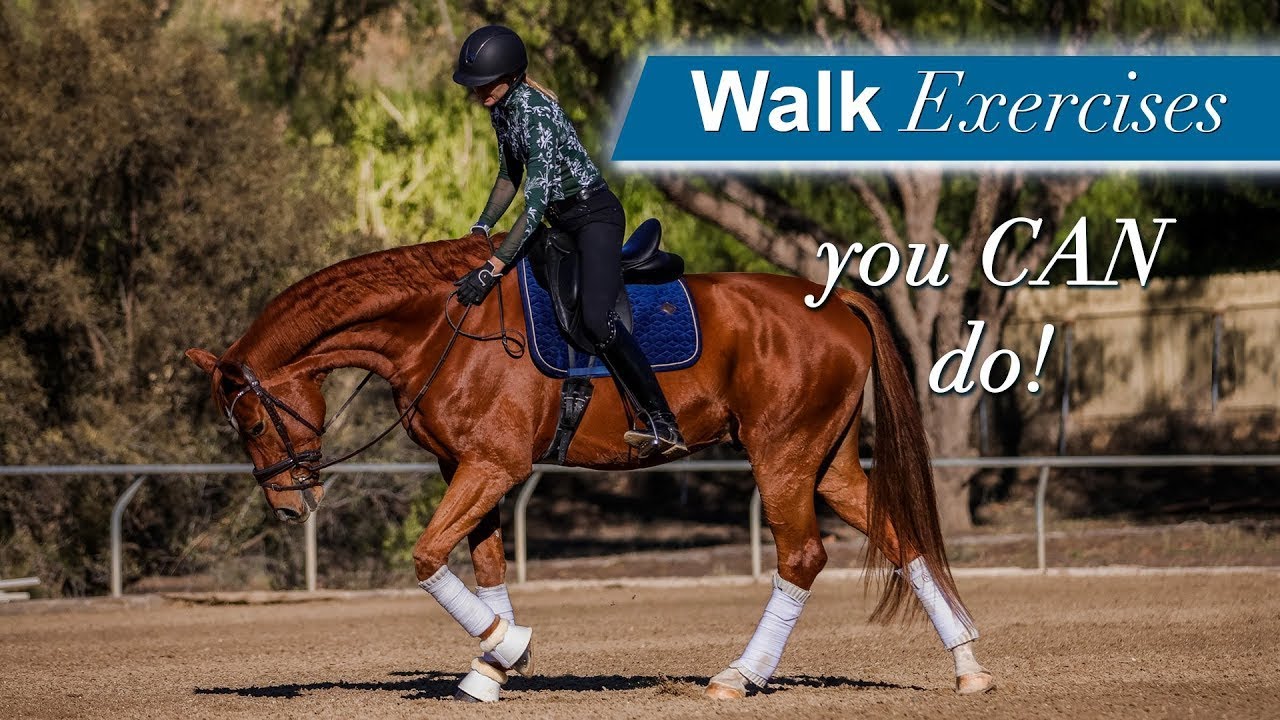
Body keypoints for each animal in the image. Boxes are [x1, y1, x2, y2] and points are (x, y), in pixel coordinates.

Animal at [185, 231, 996, 701]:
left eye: (249, 420)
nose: (290, 507)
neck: (441, 323)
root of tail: (835, 301)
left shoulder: (494, 465)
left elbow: (426, 556)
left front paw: (509, 646)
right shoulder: (468, 468)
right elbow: (483, 564)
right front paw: (490, 668)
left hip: (783, 458)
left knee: (802, 556)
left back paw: (741, 676)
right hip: (824, 462)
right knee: (900, 537)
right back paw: (967, 667)